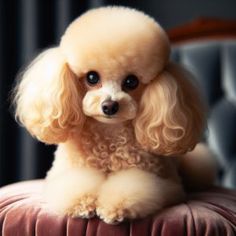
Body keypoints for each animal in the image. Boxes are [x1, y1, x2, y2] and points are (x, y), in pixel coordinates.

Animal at [13, 5, 216, 223]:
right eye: (92, 77)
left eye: (131, 81)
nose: (109, 106)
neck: (108, 136)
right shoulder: (66, 173)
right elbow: (75, 185)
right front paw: (82, 204)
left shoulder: (167, 184)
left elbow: (136, 186)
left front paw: (114, 208)